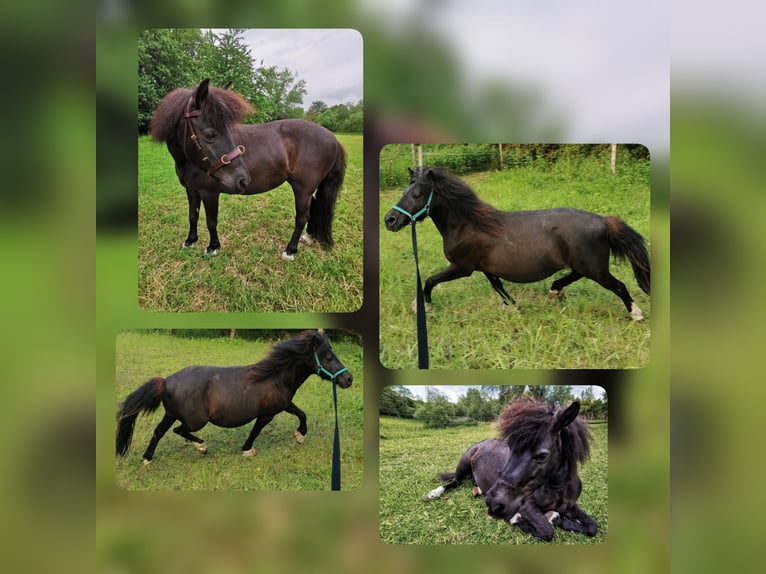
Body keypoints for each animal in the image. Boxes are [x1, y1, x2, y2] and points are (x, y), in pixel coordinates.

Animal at [116, 330, 353, 465]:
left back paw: (147, 458)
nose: (349, 379)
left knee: (159, 431)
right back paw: (202, 447)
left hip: (171, 414)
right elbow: (255, 431)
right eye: (328, 357)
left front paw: (300, 435)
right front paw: (247, 450)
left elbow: (301, 414)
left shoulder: (283, 404)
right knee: (178, 431)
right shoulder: (266, 414)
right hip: (194, 421)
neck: (274, 376)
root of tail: (166, 381)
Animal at [150, 79, 347, 260]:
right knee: (314, 208)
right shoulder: (191, 190)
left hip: (303, 189)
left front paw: (213, 247)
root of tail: (333, 139)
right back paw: (309, 236)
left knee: (301, 217)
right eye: (210, 134)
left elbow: (211, 221)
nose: (243, 179)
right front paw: (190, 241)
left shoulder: (209, 193)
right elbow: (193, 216)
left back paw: (290, 250)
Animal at [384, 166, 650, 321]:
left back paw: (636, 314)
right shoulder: (486, 268)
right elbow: (498, 286)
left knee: (619, 286)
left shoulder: (462, 267)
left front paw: (421, 307)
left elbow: (429, 281)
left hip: (595, 269)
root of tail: (603, 221)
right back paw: (554, 291)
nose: (390, 220)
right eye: (403, 191)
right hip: (585, 266)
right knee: (574, 276)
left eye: (417, 194)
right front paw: (511, 306)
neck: (467, 225)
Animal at [423, 399, 598, 542]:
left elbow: (593, 527)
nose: (494, 503)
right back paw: (433, 494)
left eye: (542, 456)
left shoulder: (571, 506)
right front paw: (520, 519)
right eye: (510, 447)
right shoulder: (527, 507)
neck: (557, 490)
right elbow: (547, 531)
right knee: (454, 482)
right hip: (463, 464)